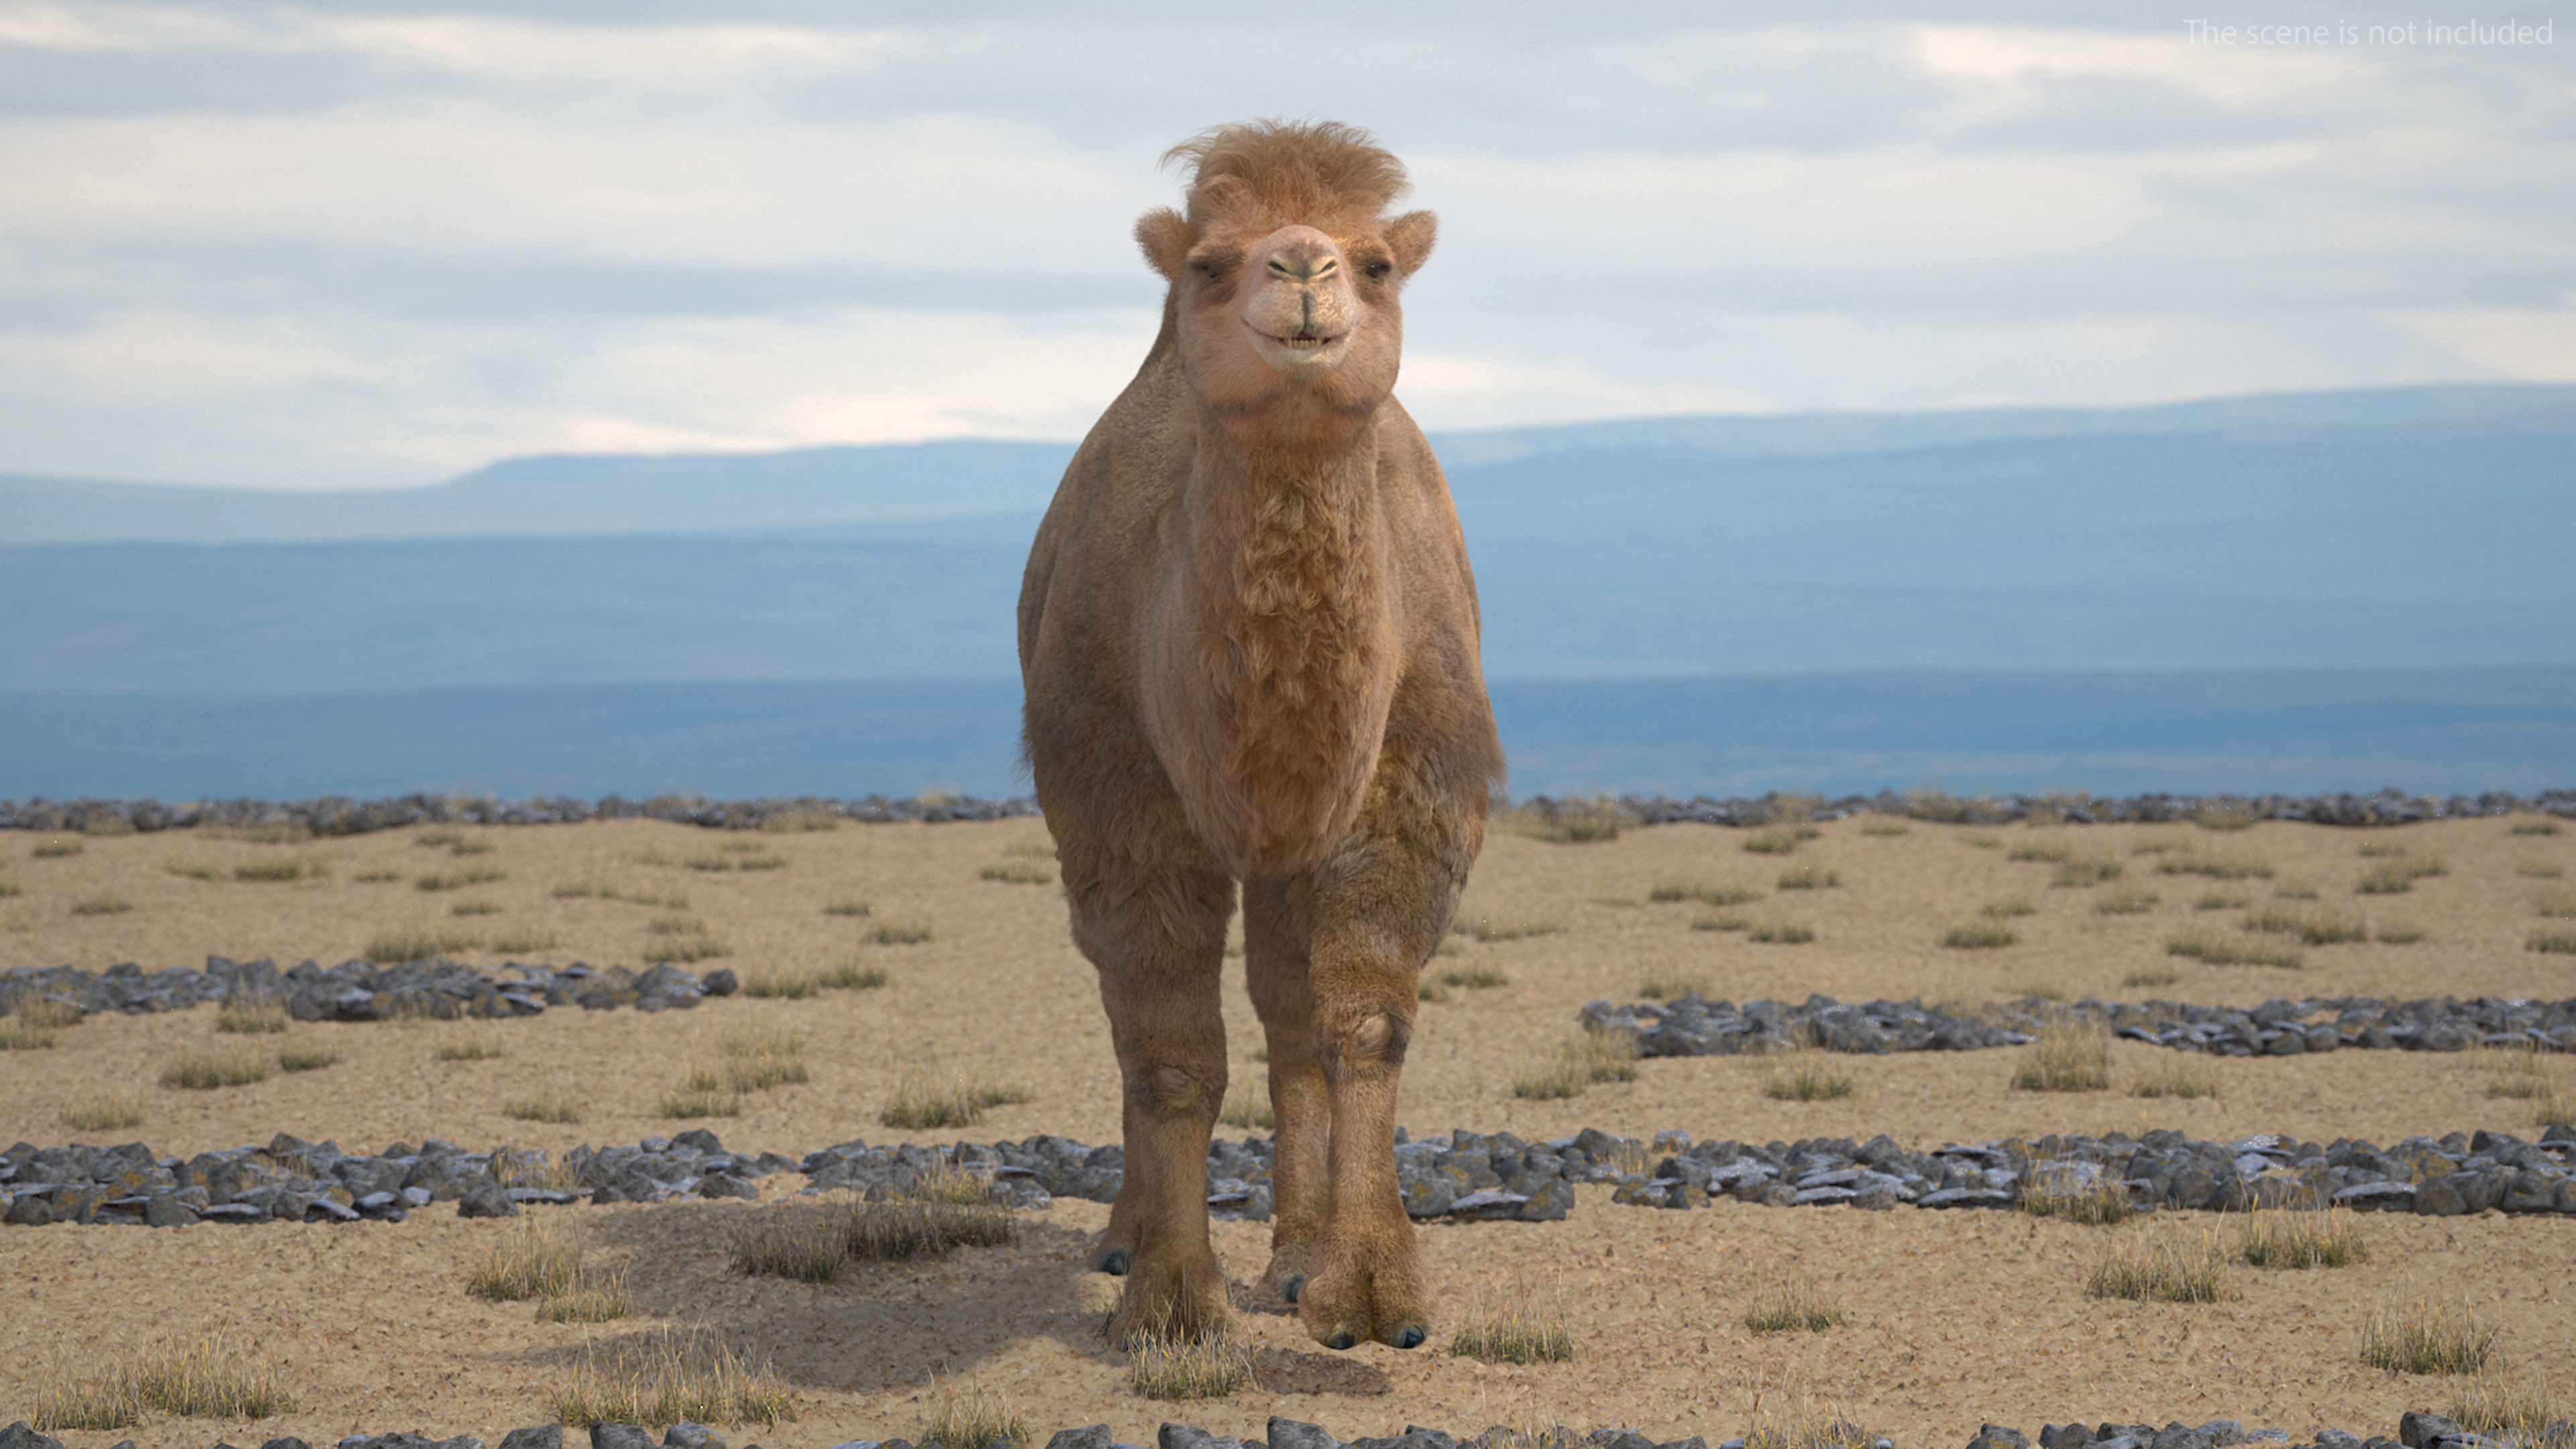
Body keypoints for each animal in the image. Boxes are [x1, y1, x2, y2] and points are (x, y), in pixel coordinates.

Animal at [1016, 120, 1503, 1353]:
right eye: (1208, 264)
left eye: (1375, 262)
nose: (1304, 271)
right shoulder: (1118, 795)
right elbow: (1172, 1056)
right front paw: (1168, 1300)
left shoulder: (1405, 787)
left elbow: (1364, 1024)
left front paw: (1371, 1293)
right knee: (1129, 1012)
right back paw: (1128, 1234)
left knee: (1289, 1015)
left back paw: (1293, 1254)